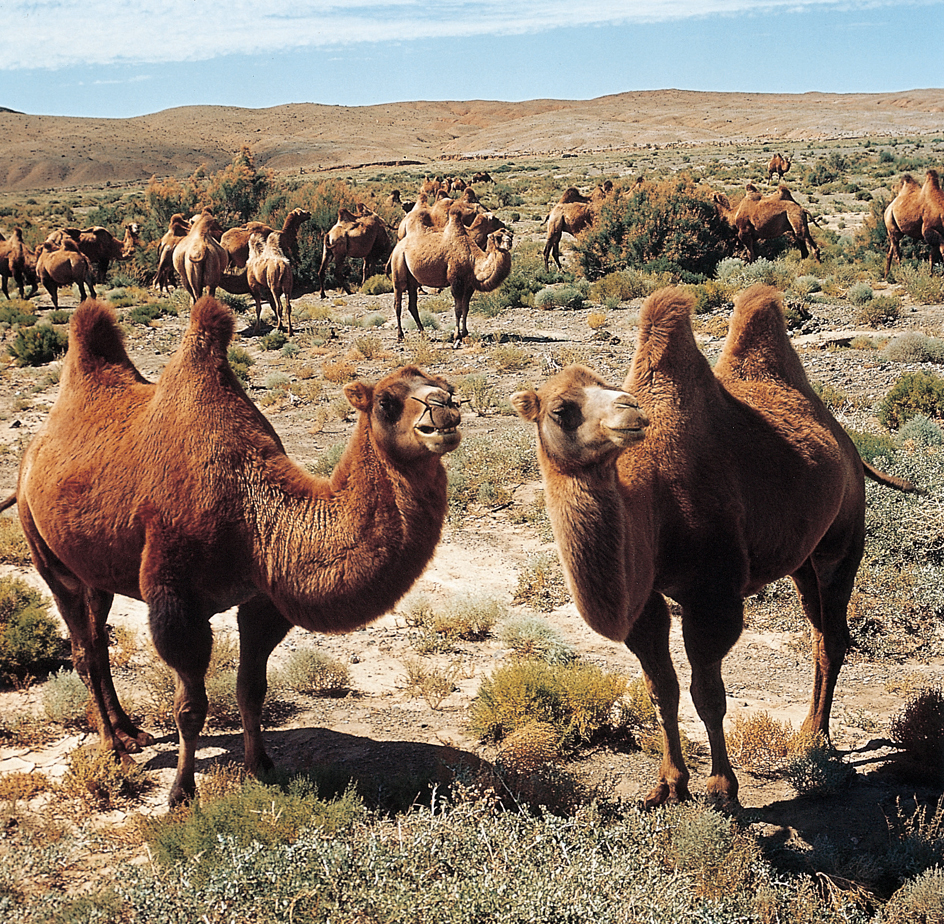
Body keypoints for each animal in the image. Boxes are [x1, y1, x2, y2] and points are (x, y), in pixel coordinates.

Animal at [2, 298, 460, 808]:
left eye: (447, 386)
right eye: (386, 401)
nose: (444, 409)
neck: (252, 512)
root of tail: (30, 454)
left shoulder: (262, 599)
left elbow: (251, 689)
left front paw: (261, 767)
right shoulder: (175, 602)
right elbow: (190, 706)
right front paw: (181, 793)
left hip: (95, 567)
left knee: (98, 638)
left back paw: (129, 732)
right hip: (45, 551)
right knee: (82, 648)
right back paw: (113, 750)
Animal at [388, 209, 512, 346]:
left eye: (510, 235)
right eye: (499, 237)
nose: (510, 242)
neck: (472, 259)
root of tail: (396, 247)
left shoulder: (469, 285)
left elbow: (466, 309)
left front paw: (465, 333)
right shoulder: (456, 281)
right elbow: (458, 310)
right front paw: (457, 336)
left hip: (412, 280)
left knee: (412, 305)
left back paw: (425, 335)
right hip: (398, 268)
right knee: (397, 305)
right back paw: (400, 336)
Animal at [512, 286, 920, 808]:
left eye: (608, 386)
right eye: (561, 409)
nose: (631, 410)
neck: (650, 502)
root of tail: (846, 442)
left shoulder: (712, 594)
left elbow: (707, 693)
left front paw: (722, 789)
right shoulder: (644, 599)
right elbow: (661, 689)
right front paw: (668, 785)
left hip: (842, 539)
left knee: (833, 635)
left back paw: (816, 739)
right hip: (801, 559)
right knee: (818, 630)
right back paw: (809, 730)